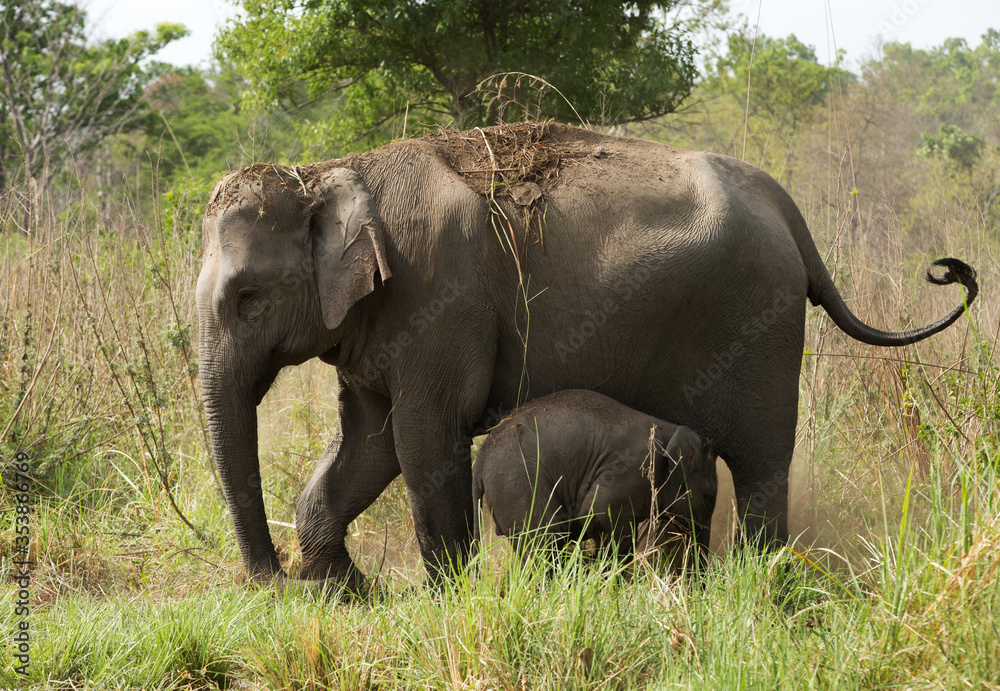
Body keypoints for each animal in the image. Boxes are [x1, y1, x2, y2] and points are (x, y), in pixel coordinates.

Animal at [472, 389, 718, 565]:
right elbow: (597, 512)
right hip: (516, 482)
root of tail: (481, 459)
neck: (671, 430)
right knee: (546, 540)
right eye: (709, 498)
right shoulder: (631, 469)